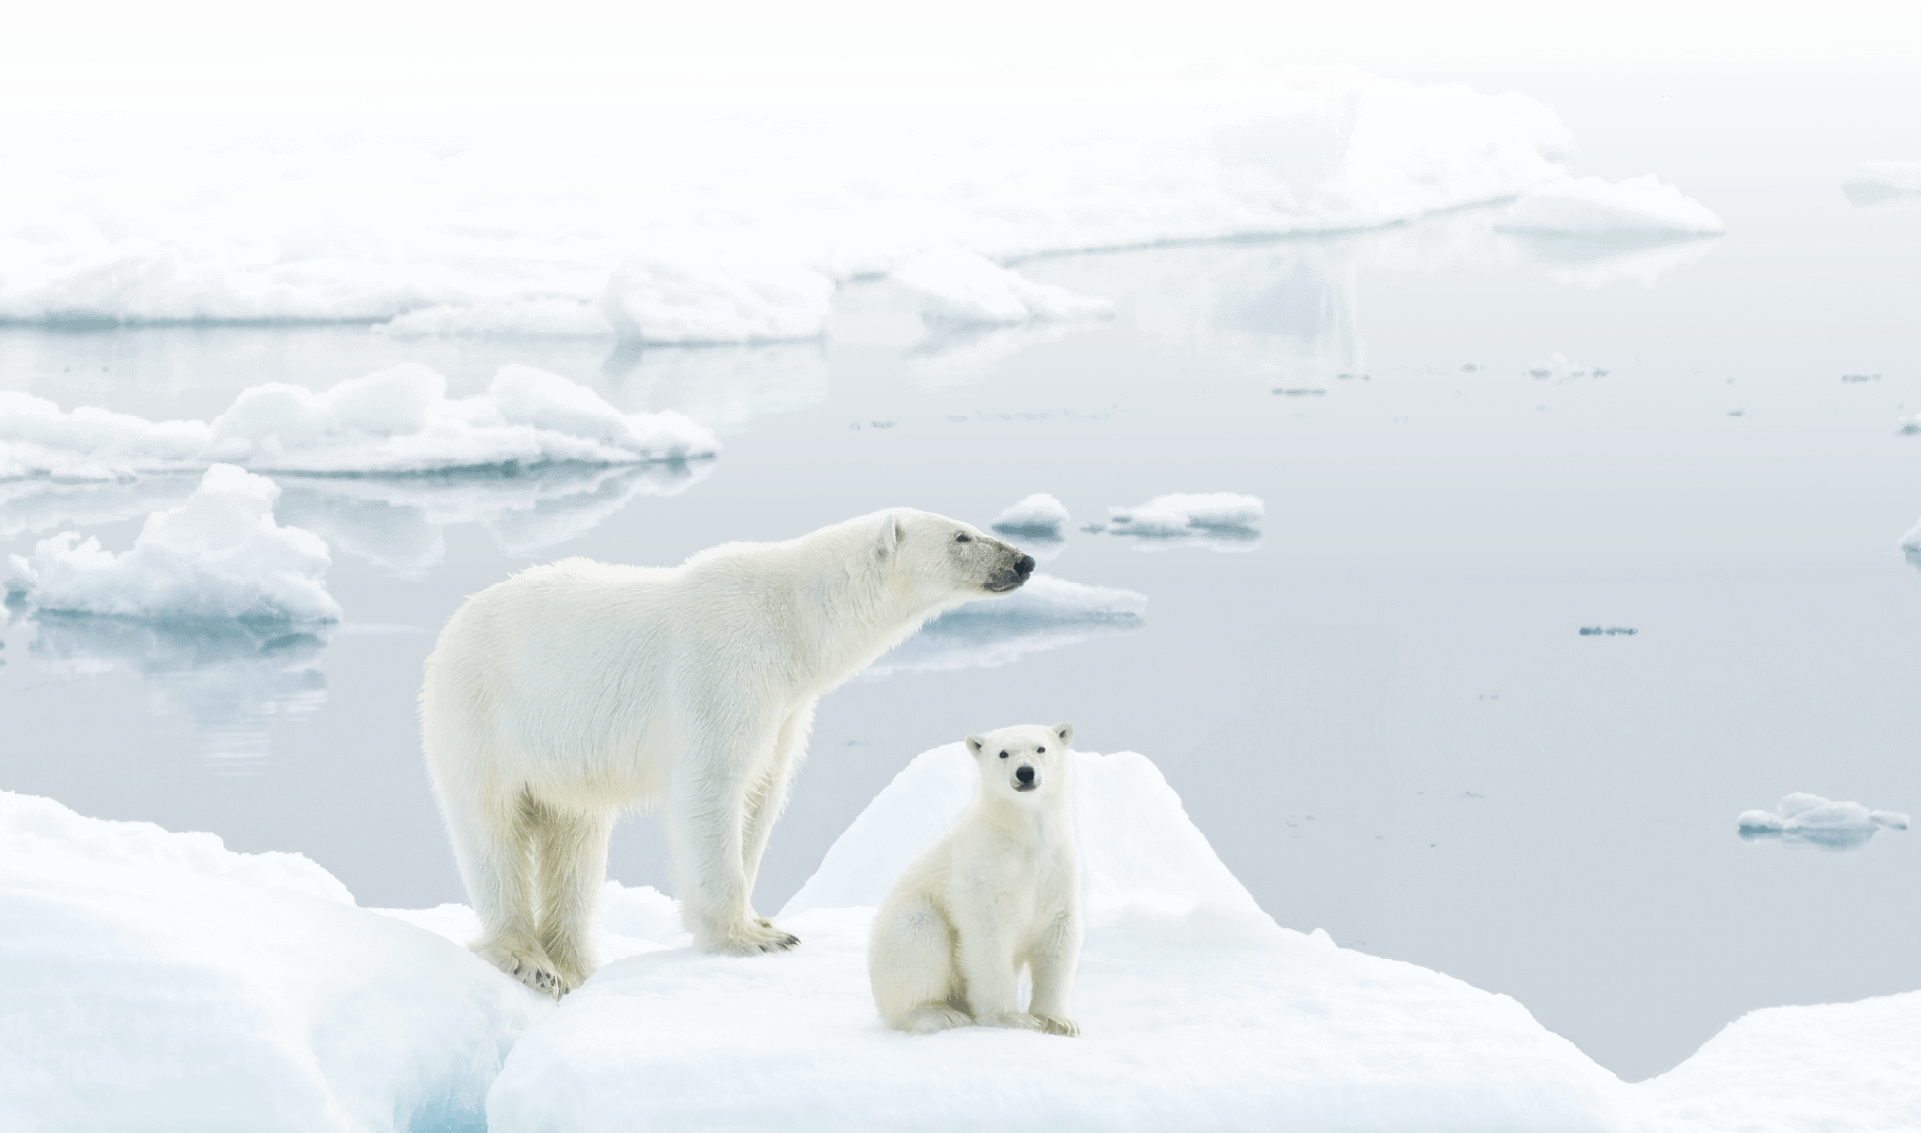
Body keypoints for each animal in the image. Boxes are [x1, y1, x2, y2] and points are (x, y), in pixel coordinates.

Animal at [422, 510, 1037, 998]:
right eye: (961, 535)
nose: (1024, 560)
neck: (795, 621)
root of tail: (451, 627)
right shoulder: (724, 668)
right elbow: (712, 787)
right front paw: (747, 938)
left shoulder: (787, 707)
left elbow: (762, 795)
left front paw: (763, 922)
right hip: (483, 716)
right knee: (491, 828)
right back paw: (527, 958)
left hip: (563, 760)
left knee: (575, 841)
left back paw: (573, 964)